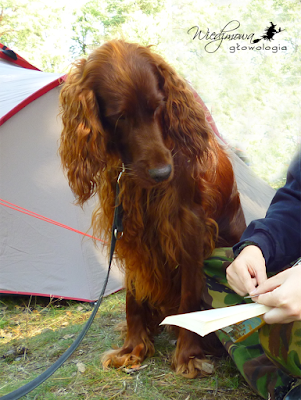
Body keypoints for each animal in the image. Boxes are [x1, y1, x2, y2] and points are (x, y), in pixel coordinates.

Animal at [59, 39, 246, 378]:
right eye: (120, 116)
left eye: (158, 106)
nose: (163, 173)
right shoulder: (128, 227)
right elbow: (133, 296)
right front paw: (133, 347)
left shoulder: (187, 225)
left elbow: (189, 295)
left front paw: (187, 355)